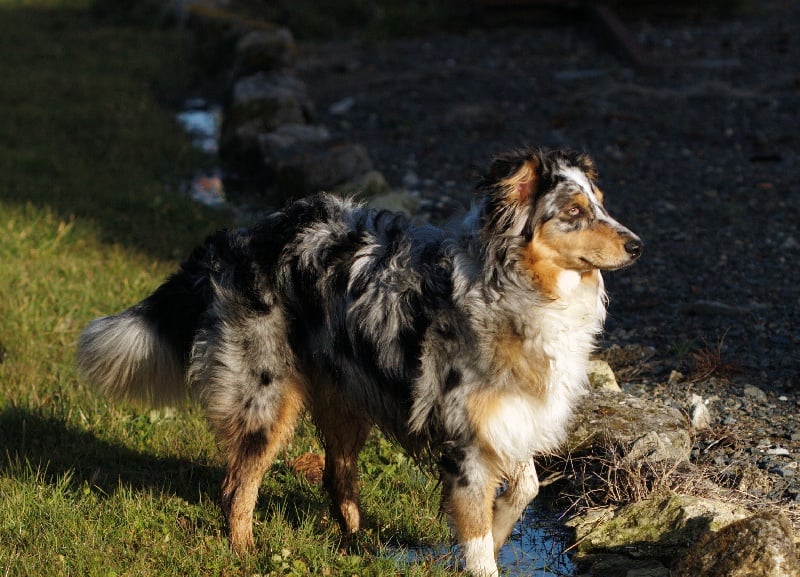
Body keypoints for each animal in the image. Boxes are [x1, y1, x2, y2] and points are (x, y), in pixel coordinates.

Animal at [79, 150, 644, 576]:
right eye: (574, 212)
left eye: (600, 204)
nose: (637, 245)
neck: (518, 289)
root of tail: (236, 240)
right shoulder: (463, 440)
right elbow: (479, 542)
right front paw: (486, 544)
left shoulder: (509, 416)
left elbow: (524, 488)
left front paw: (503, 525)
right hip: (266, 399)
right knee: (237, 485)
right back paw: (247, 554)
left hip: (346, 396)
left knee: (335, 475)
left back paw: (358, 546)